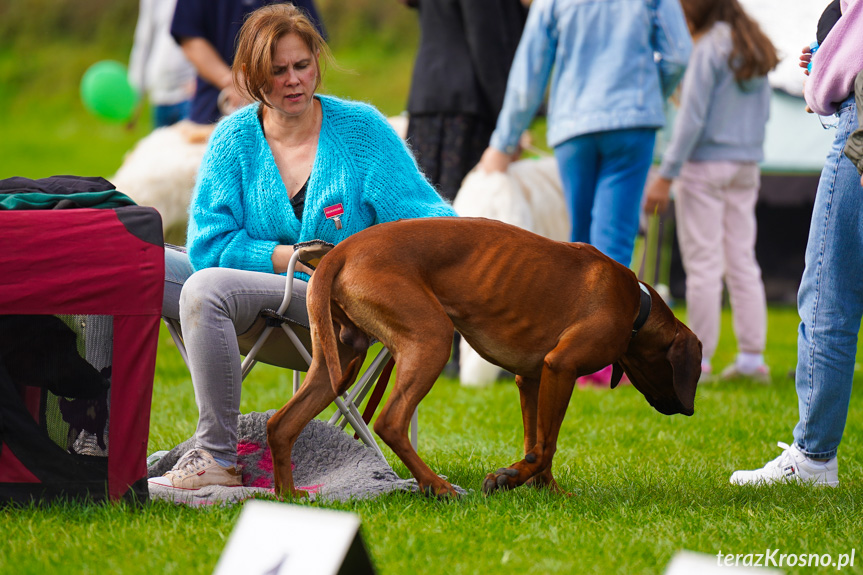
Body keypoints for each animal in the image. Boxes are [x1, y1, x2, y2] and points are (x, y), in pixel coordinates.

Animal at [268, 218, 704, 498]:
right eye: (692, 373)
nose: (687, 411)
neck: (636, 306)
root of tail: (339, 252)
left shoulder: (534, 378)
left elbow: (537, 440)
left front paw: (546, 491)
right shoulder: (561, 367)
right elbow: (545, 446)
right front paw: (509, 479)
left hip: (338, 363)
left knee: (281, 423)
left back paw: (288, 494)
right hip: (432, 339)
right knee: (390, 422)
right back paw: (437, 486)